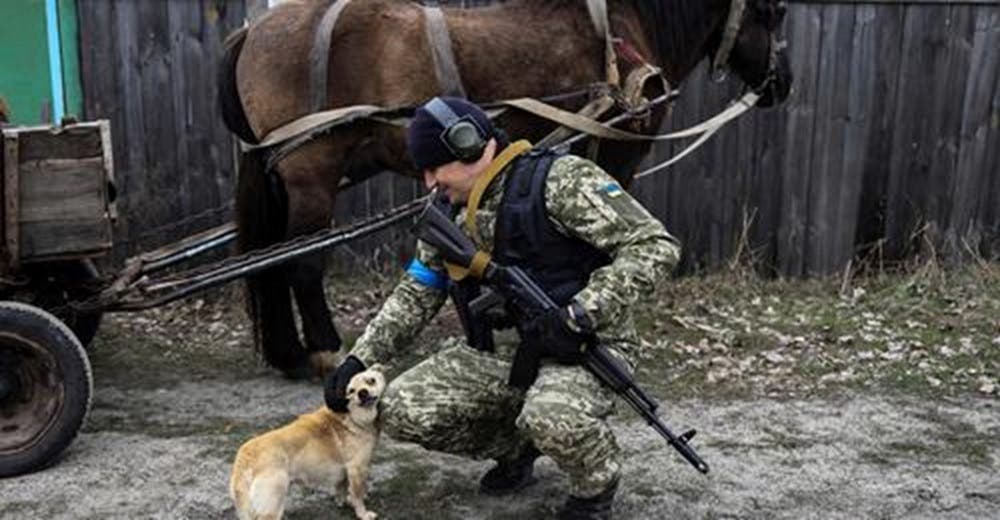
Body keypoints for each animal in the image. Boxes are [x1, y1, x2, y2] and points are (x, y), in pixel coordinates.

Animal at [219, 0, 788, 376]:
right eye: (774, 11)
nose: (782, 84)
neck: (624, 32)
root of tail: (253, 30)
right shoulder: (617, 156)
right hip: (311, 174)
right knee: (299, 264)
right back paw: (324, 350)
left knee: (270, 262)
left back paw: (288, 354)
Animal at [231, 366, 386, 520]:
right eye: (351, 391)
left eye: (371, 380)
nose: (362, 393)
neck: (351, 416)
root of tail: (245, 459)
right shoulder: (358, 469)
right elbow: (358, 495)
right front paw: (363, 513)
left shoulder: (345, 472)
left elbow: (342, 489)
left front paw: (343, 501)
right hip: (274, 502)